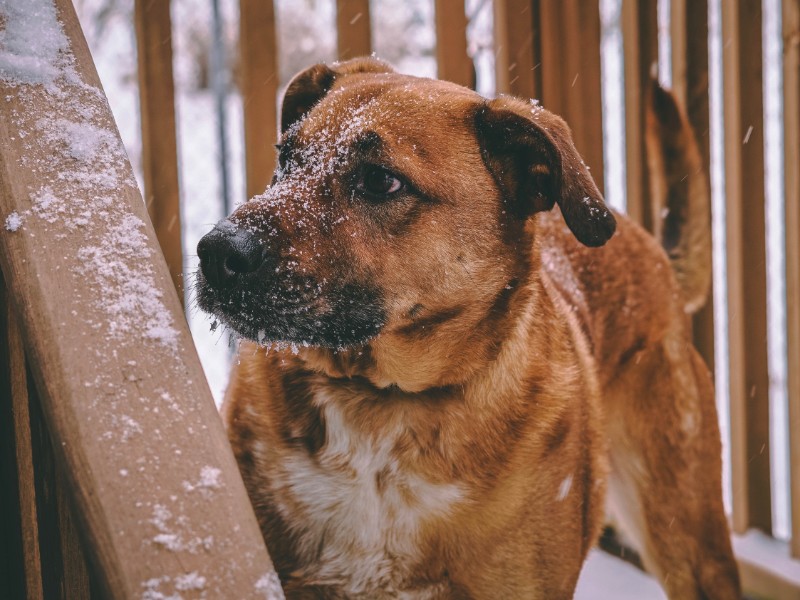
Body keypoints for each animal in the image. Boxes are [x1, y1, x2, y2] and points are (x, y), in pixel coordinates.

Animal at [197, 57, 740, 600]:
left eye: (380, 181)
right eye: (286, 158)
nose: (216, 252)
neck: (381, 403)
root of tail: (652, 252)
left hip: (689, 536)